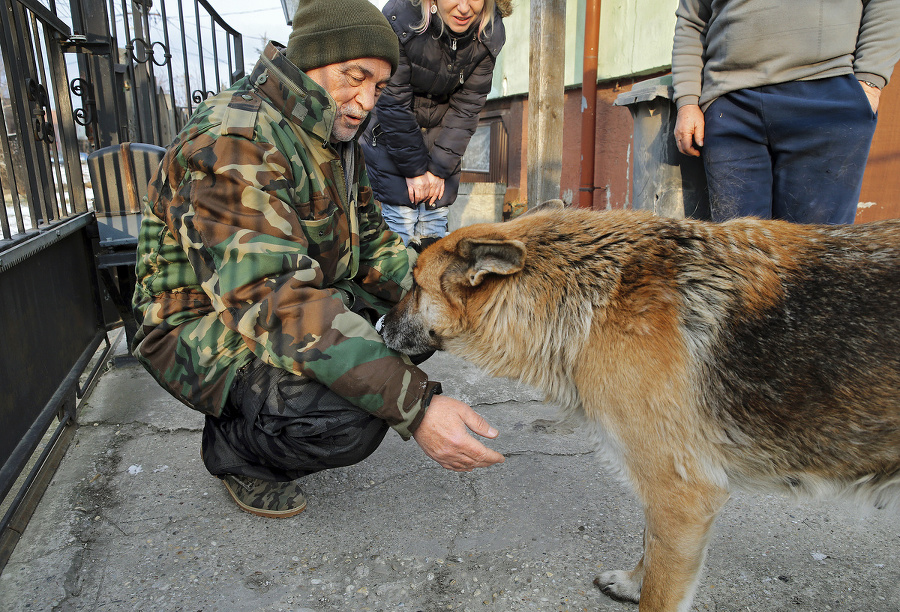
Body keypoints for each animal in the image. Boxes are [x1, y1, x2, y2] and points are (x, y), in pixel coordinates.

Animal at [380, 206, 900, 612]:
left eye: (413, 285)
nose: (379, 324)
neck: (591, 300)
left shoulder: (683, 495)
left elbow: (660, 587)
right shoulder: (668, 496)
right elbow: (649, 547)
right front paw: (633, 582)